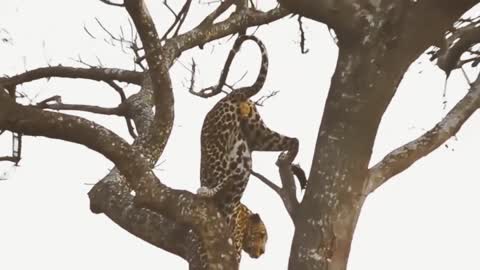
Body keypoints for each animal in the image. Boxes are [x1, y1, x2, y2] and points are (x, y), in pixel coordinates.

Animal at [195, 34, 304, 262]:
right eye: (262, 235)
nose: (262, 253)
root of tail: (230, 96)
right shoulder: (233, 247)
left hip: (257, 135)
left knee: (293, 140)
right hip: (224, 146)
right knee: (223, 178)